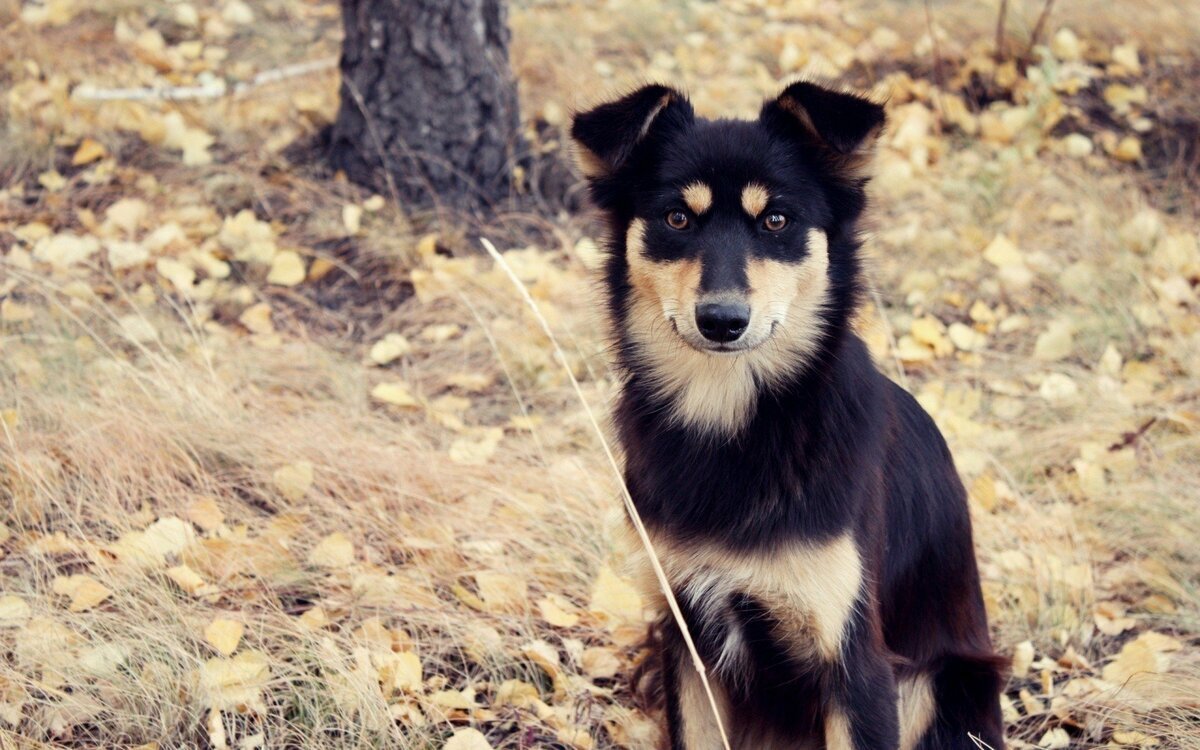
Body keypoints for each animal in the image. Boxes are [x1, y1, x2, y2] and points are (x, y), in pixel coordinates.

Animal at [568, 81, 1003, 748]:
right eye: (677, 218)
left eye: (776, 220)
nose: (722, 320)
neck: (732, 418)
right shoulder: (686, 641)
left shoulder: (856, 662)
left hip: (942, 681)